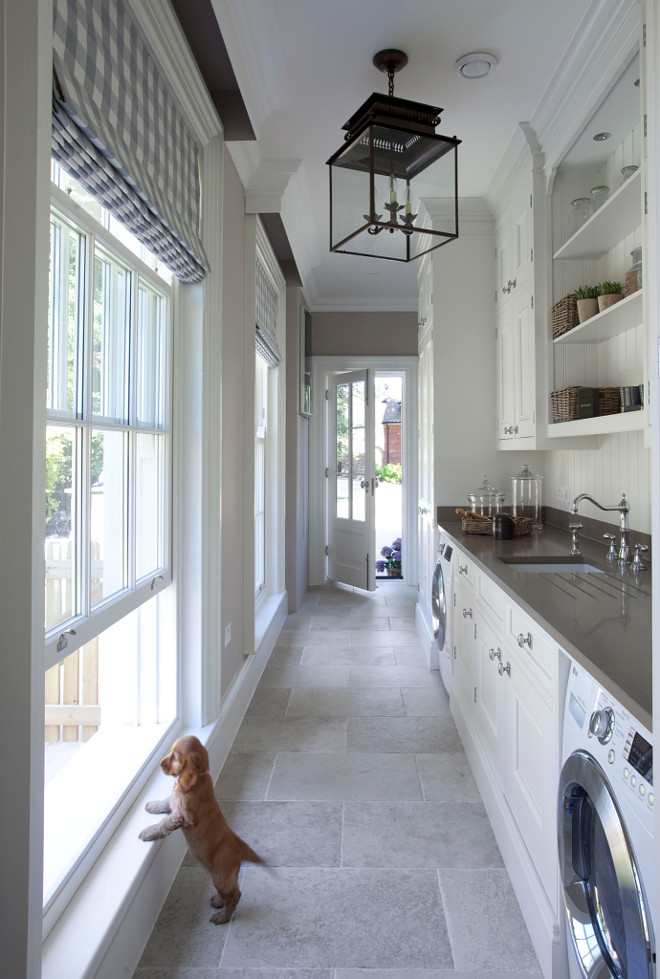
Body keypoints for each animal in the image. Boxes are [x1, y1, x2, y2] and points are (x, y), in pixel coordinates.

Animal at [139, 740, 262, 924]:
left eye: (175, 756)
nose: (160, 764)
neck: (199, 777)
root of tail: (240, 845)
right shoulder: (175, 802)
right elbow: (166, 801)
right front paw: (153, 805)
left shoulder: (181, 816)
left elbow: (163, 824)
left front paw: (148, 832)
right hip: (225, 876)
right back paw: (218, 901)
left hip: (220, 877)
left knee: (235, 896)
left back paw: (222, 917)